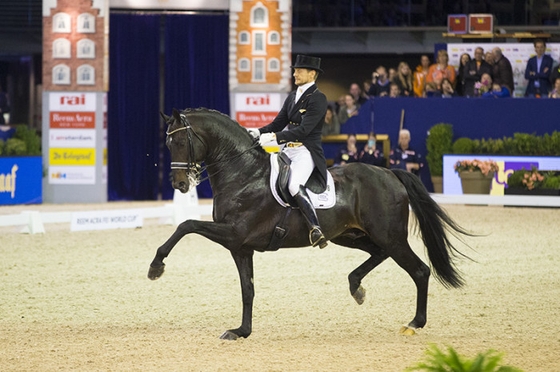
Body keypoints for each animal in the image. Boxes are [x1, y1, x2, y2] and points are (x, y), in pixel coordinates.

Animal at [147, 107, 470, 340]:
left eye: (179, 142)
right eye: (167, 143)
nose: (179, 184)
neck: (243, 173)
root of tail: (390, 173)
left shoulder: (234, 234)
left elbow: (186, 225)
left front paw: (156, 267)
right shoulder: (241, 247)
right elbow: (247, 290)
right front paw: (241, 332)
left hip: (389, 236)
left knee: (420, 270)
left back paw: (414, 323)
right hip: (351, 236)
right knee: (379, 255)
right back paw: (356, 288)